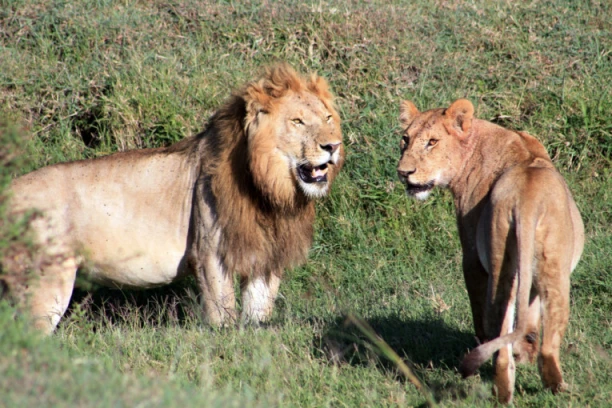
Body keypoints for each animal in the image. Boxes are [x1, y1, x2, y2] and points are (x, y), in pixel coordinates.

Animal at [3, 64, 344, 334]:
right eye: (298, 121)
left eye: (328, 117)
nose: (333, 146)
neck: (270, 190)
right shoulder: (210, 253)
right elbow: (223, 314)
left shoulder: (265, 255)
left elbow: (258, 313)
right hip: (45, 283)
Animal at [396, 99, 584, 404]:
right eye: (405, 139)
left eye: (432, 142)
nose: (403, 173)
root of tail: (526, 199)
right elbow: (529, 316)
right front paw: (525, 352)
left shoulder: (471, 257)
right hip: (547, 269)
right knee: (542, 338)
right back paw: (544, 386)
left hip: (503, 264)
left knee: (499, 328)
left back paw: (511, 389)